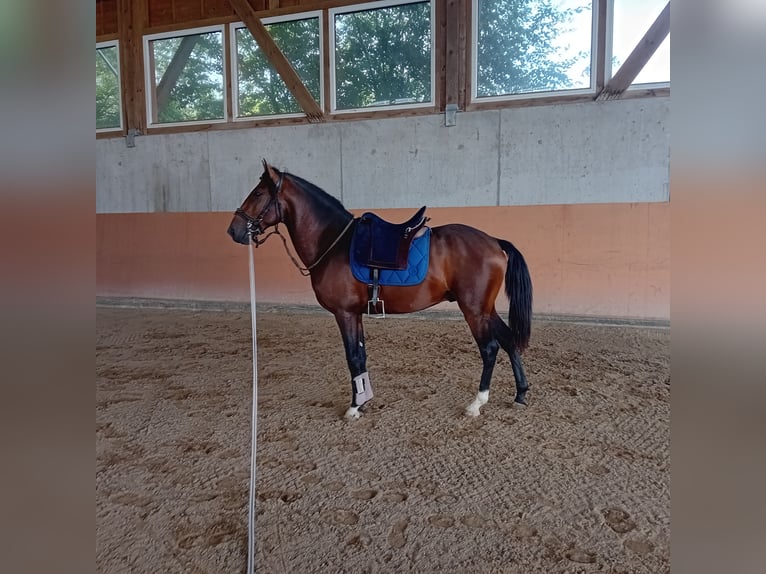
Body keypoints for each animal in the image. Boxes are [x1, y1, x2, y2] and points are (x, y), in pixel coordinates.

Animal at [228, 160, 536, 420]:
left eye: (258, 193)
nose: (233, 231)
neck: (334, 243)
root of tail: (493, 241)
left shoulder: (344, 313)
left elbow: (353, 357)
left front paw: (354, 408)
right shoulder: (355, 314)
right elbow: (360, 357)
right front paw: (363, 400)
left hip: (473, 309)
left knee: (490, 348)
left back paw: (476, 404)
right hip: (485, 308)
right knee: (509, 340)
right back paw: (520, 394)